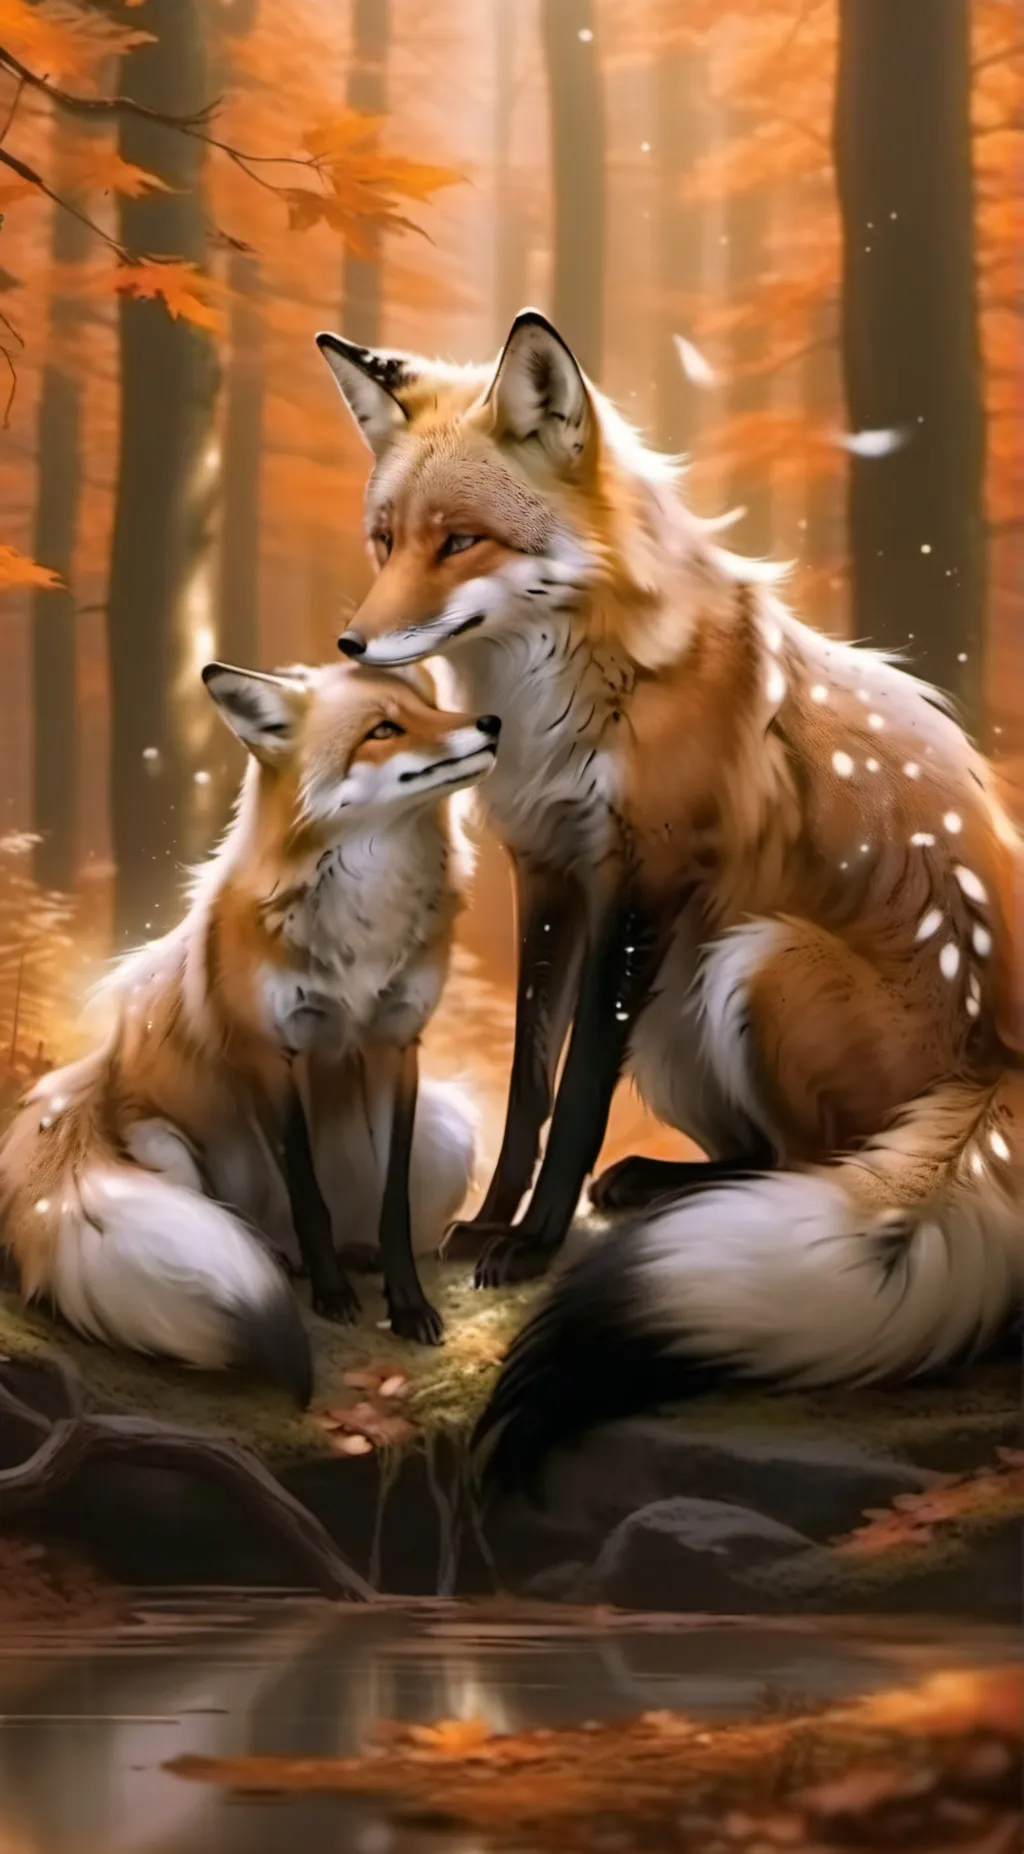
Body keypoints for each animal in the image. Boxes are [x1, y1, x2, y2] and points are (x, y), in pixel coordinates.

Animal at [0, 660, 499, 1399]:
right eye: (383, 730)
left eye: (433, 708)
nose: (491, 722)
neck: (366, 924)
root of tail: (100, 1073)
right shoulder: (271, 1049)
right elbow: (307, 1191)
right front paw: (332, 1296)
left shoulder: (395, 1044)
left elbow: (392, 1208)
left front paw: (408, 1304)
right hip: (170, 1153)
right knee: (249, 1226)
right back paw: (286, 1260)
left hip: (449, 1135)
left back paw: (351, 1254)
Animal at [315, 307, 1023, 1484]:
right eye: (384, 540)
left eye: (460, 542)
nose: (353, 645)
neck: (562, 699)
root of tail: (996, 1065)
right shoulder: (548, 872)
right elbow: (529, 1086)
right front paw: (491, 1224)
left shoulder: (643, 877)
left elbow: (578, 1094)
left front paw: (534, 1245)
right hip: (682, 1011)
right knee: (769, 1160)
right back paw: (657, 1185)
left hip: (749, 955)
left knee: (810, 1173)